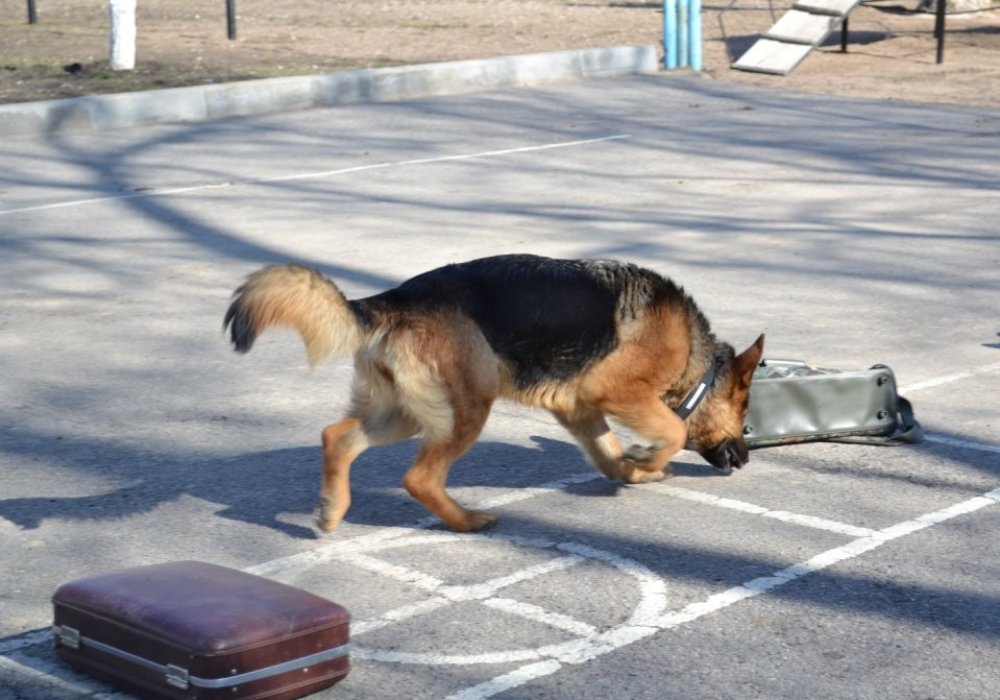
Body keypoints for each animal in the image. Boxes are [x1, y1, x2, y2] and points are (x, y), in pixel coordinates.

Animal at [223, 254, 760, 532]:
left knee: (336, 437)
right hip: (466, 408)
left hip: (405, 414)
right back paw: (466, 521)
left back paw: (332, 510)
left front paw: (637, 470)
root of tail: (392, 299)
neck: (696, 356)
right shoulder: (614, 392)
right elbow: (672, 430)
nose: (746, 460)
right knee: (419, 478)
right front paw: (648, 458)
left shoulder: (581, 411)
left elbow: (609, 456)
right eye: (745, 412)